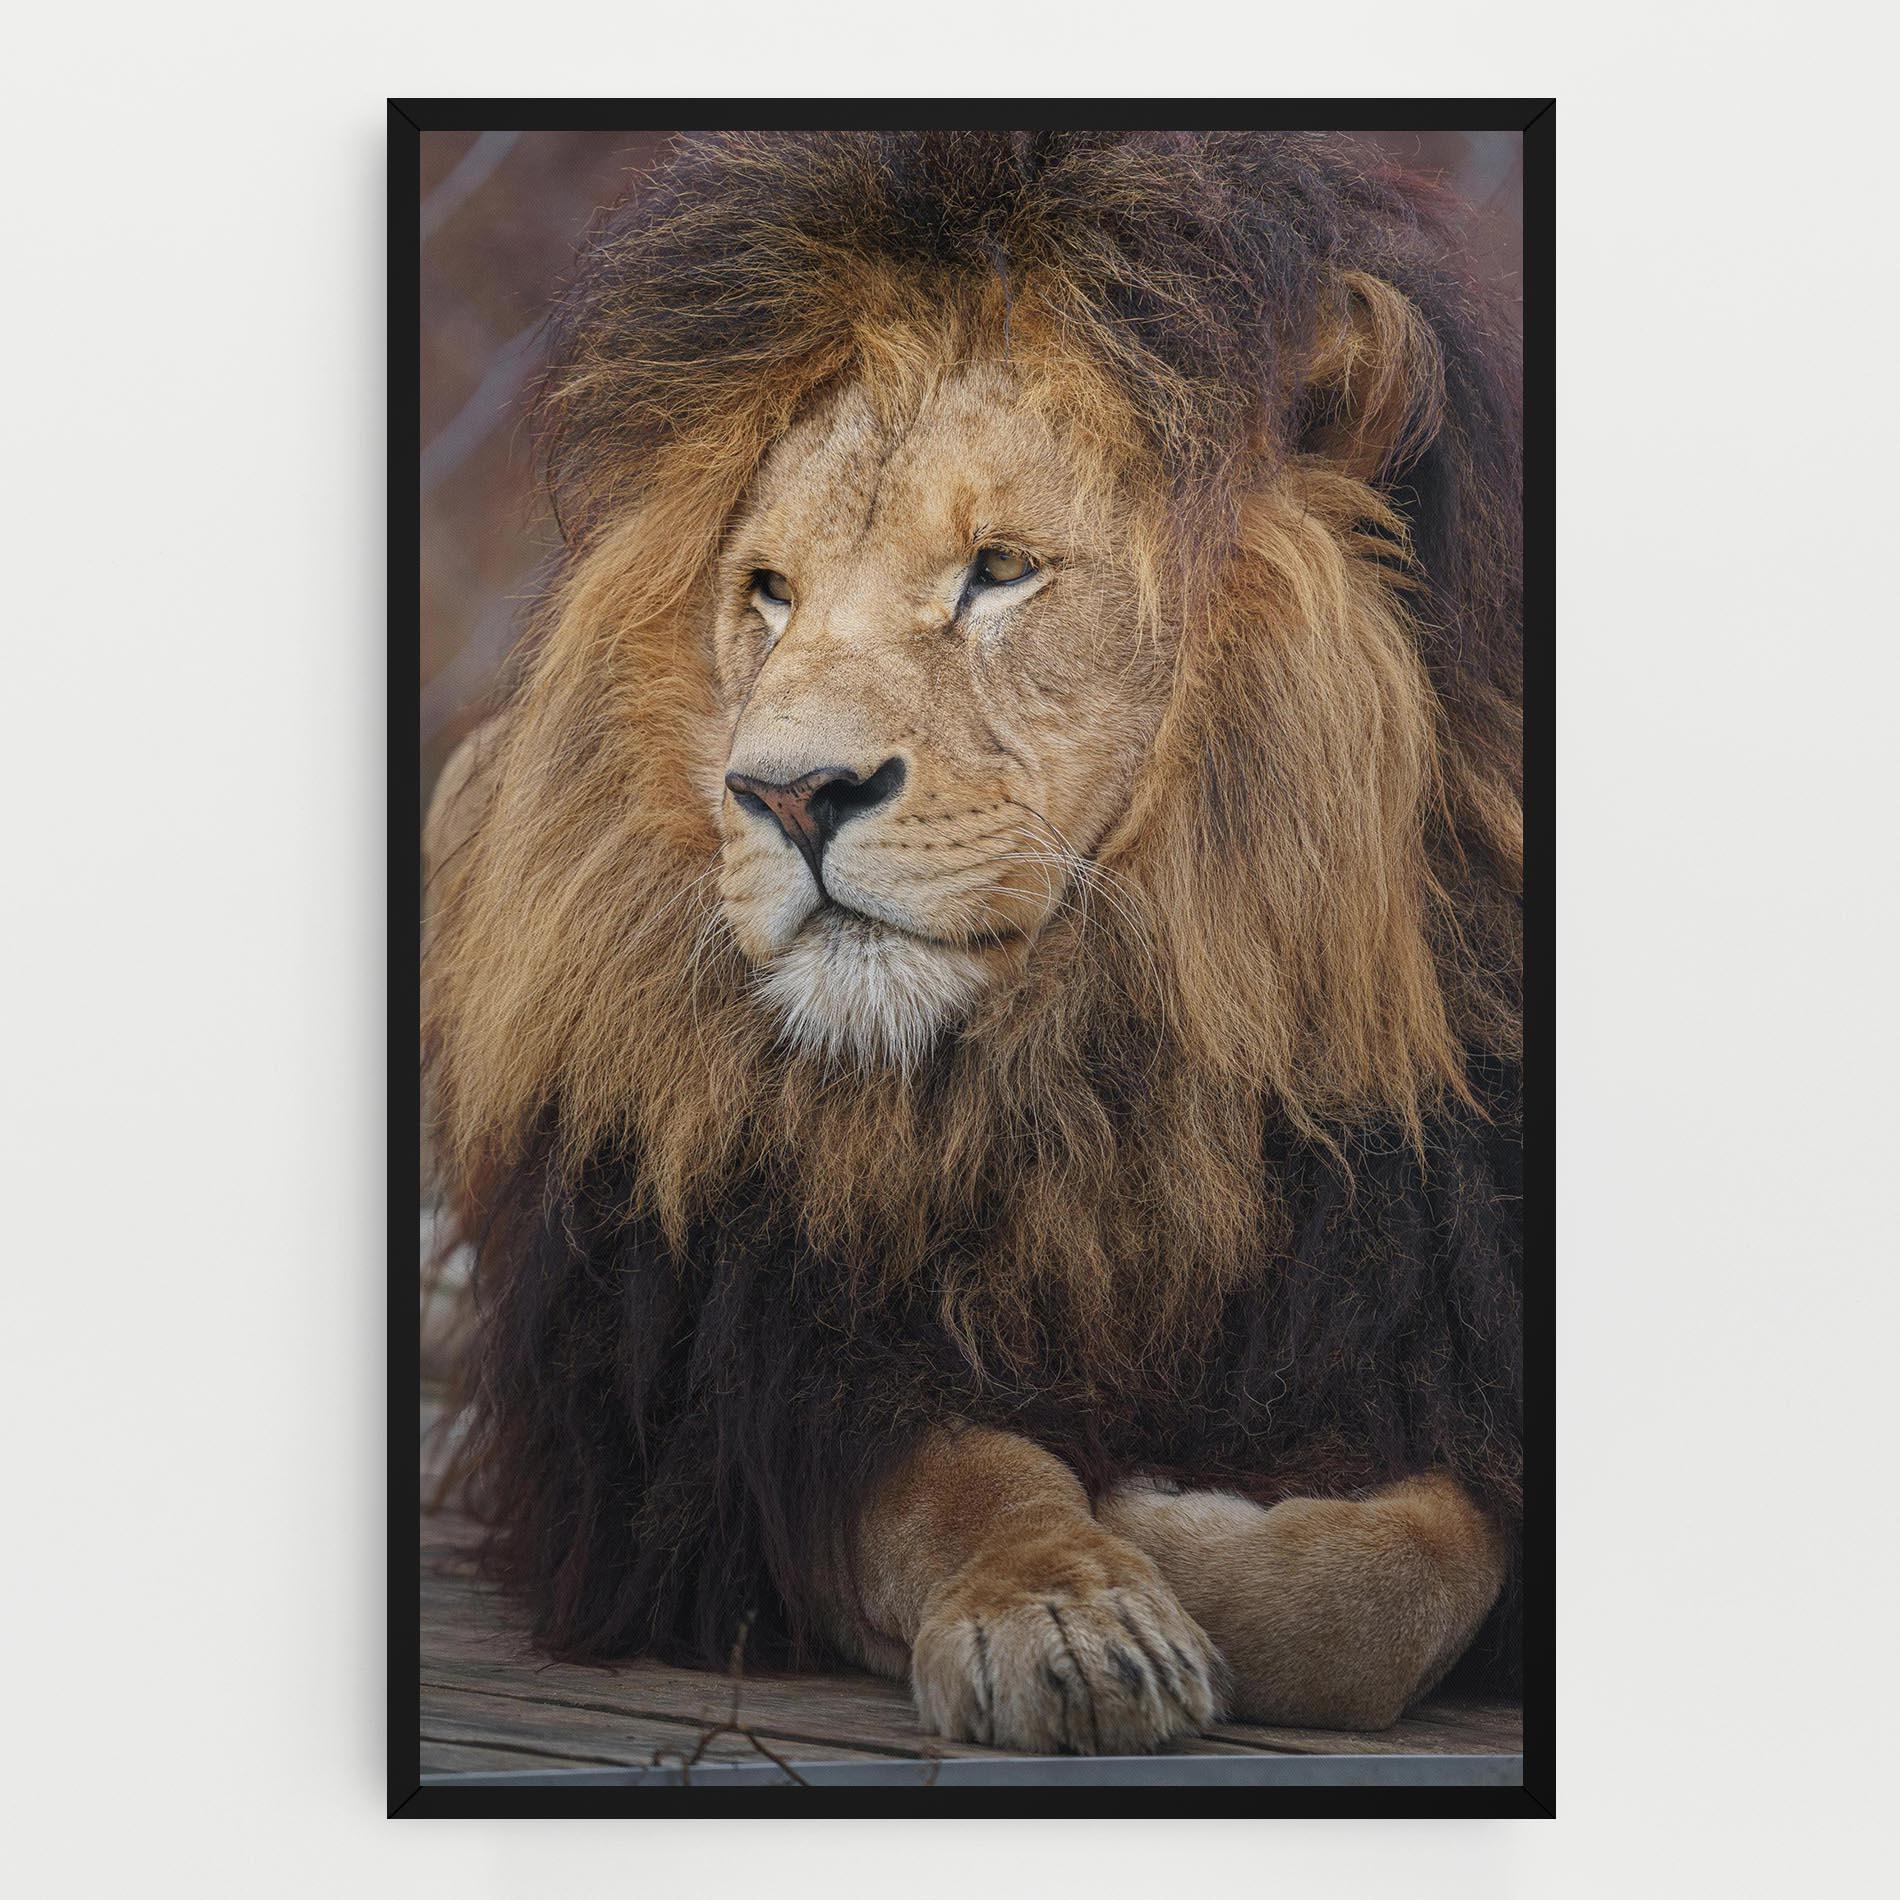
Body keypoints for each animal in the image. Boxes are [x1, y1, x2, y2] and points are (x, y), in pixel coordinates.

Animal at [423, 129, 1524, 1754]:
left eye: (1000, 570)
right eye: (767, 594)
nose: (786, 793)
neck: (1097, 1073)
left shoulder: (1435, 1329)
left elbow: (1400, 1586)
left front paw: (1176, 1518)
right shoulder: (738, 1400)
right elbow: (960, 1483)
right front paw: (1071, 1606)